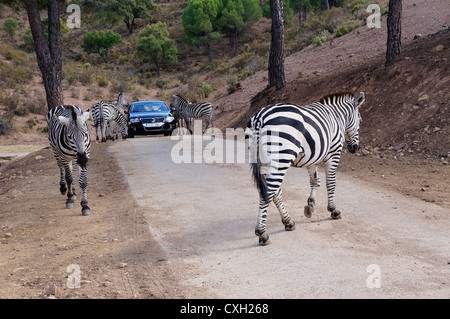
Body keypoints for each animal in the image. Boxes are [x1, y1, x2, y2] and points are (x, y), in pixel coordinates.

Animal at [246, 91, 366, 246]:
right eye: (360, 121)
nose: (354, 148)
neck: (337, 117)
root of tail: (260, 117)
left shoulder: (312, 157)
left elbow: (315, 181)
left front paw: (310, 205)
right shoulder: (333, 153)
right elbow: (330, 183)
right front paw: (333, 210)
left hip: (265, 161)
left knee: (274, 192)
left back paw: (288, 222)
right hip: (281, 159)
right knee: (269, 191)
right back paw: (262, 233)